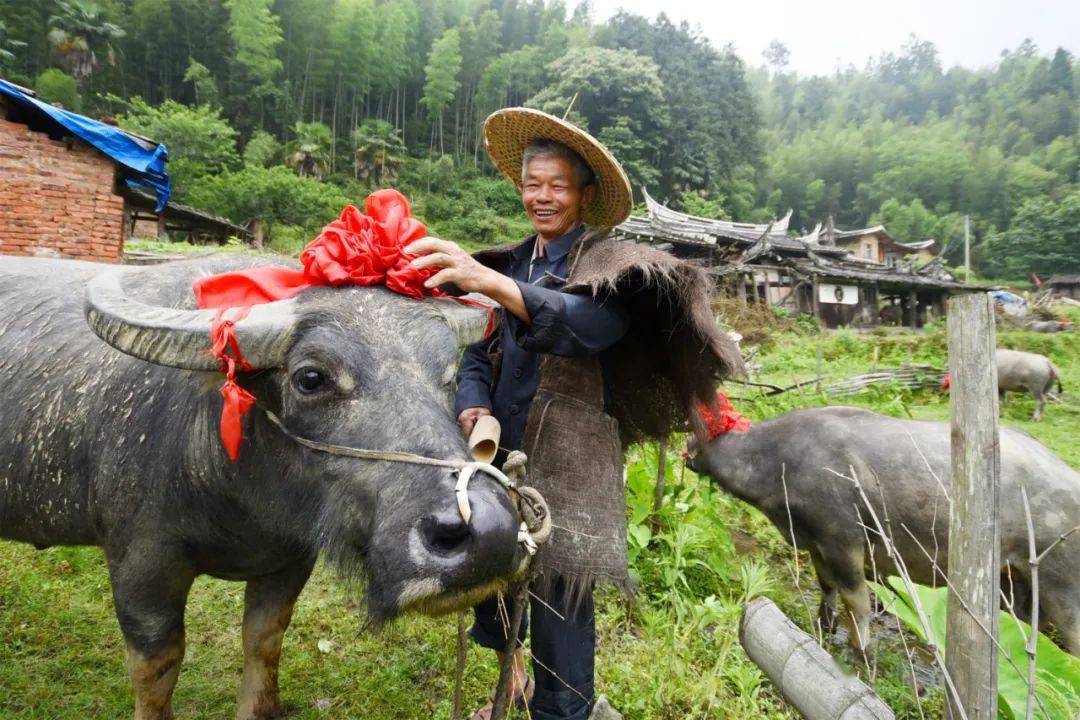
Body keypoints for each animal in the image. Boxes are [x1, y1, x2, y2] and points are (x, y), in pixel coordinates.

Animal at [0, 257, 531, 720]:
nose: (491, 533)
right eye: (311, 377)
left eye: (448, 374)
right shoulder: (141, 566)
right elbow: (157, 669)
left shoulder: (291, 559)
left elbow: (265, 637)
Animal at [691, 408, 1080, 656]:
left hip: (1062, 588)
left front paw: (859, 650)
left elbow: (857, 601)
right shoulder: (816, 544)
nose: (688, 449)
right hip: (1016, 583)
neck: (781, 460)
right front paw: (823, 626)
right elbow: (826, 585)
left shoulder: (843, 541)